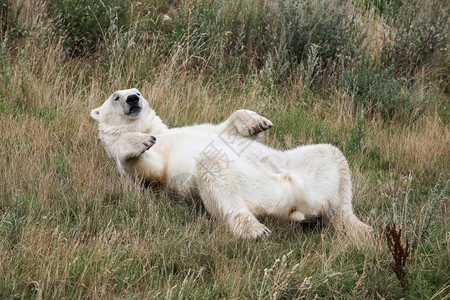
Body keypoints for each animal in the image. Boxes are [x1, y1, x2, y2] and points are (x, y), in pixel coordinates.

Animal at [91, 88, 372, 239]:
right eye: (116, 97)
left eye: (139, 91)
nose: (133, 99)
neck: (154, 129)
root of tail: (296, 204)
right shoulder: (159, 166)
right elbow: (147, 171)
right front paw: (139, 141)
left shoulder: (197, 129)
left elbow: (228, 130)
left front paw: (256, 122)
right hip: (255, 190)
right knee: (214, 170)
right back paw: (254, 229)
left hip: (302, 167)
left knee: (331, 155)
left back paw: (358, 228)